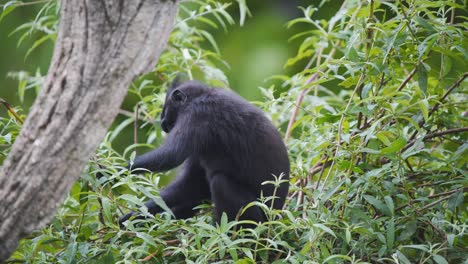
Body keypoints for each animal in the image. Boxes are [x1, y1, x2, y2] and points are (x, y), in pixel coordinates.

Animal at [117, 77, 290, 227]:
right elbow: (192, 183)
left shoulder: (197, 113)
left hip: (256, 215)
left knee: (220, 182)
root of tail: (275, 216)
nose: (163, 122)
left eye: (166, 109)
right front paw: (138, 214)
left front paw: (116, 171)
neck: (204, 93)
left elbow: (171, 155)